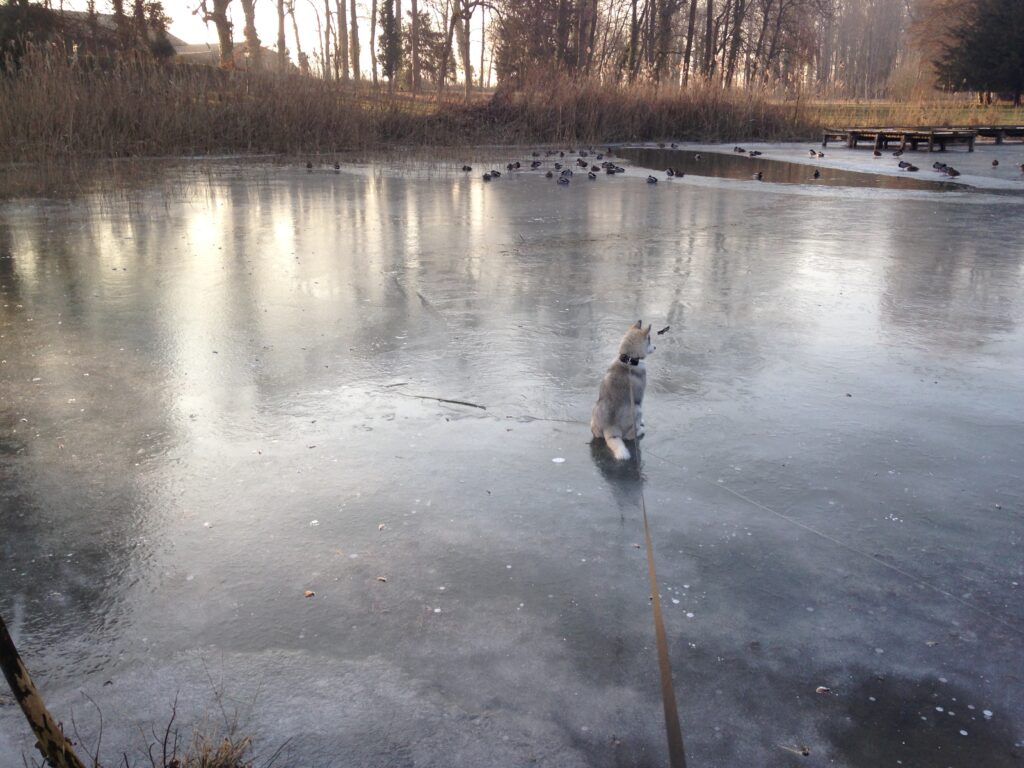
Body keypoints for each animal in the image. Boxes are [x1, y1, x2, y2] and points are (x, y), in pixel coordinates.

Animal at [591, 320, 655, 461]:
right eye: (649, 339)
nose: (655, 347)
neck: (628, 360)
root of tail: (610, 428)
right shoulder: (640, 398)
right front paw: (641, 424)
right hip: (637, 409)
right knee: (629, 437)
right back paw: (639, 431)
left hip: (595, 408)